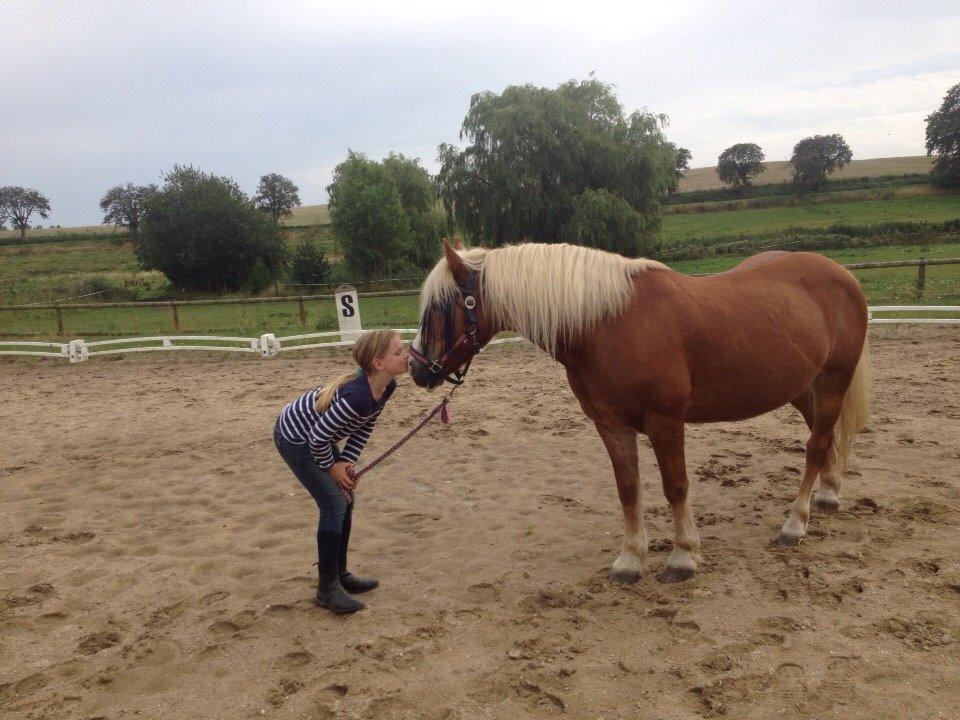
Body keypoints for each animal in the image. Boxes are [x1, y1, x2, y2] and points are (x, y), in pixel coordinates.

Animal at [406, 239, 872, 584]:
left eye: (441, 307)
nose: (416, 368)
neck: (605, 324)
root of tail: (843, 275)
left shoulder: (666, 423)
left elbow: (675, 486)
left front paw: (682, 557)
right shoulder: (611, 426)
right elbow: (628, 489)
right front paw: (630, 560)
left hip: (832, 381)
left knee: (815, 445)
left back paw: (795, 523)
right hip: (803, 387)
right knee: (824, 438)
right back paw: (828, 495)